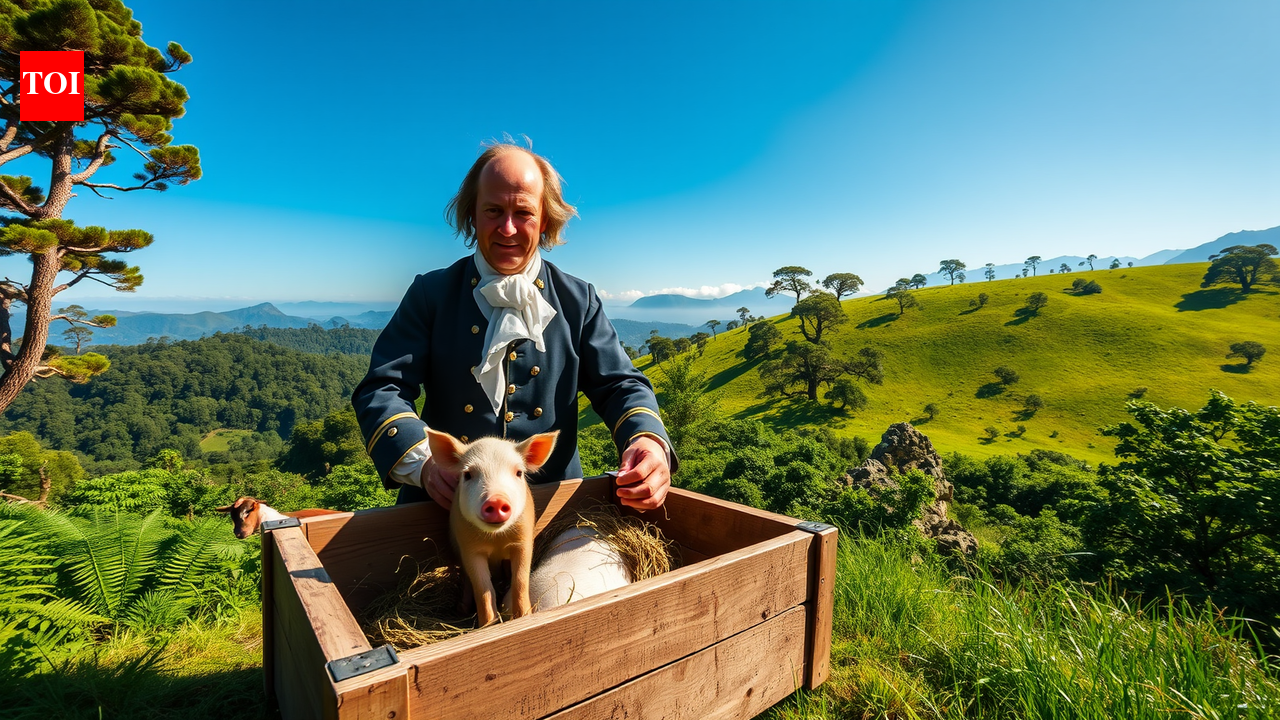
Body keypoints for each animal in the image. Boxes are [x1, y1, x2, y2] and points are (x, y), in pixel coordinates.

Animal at [426, 428, 558, 627]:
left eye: (519, 473)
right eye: (467, 474)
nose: (496, 500)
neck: (497, 539)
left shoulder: (523, 541)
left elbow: (520, 581)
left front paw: (524, 617)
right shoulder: (469, 548)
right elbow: (483, 590)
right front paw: (487, 626)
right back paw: (461, 609)